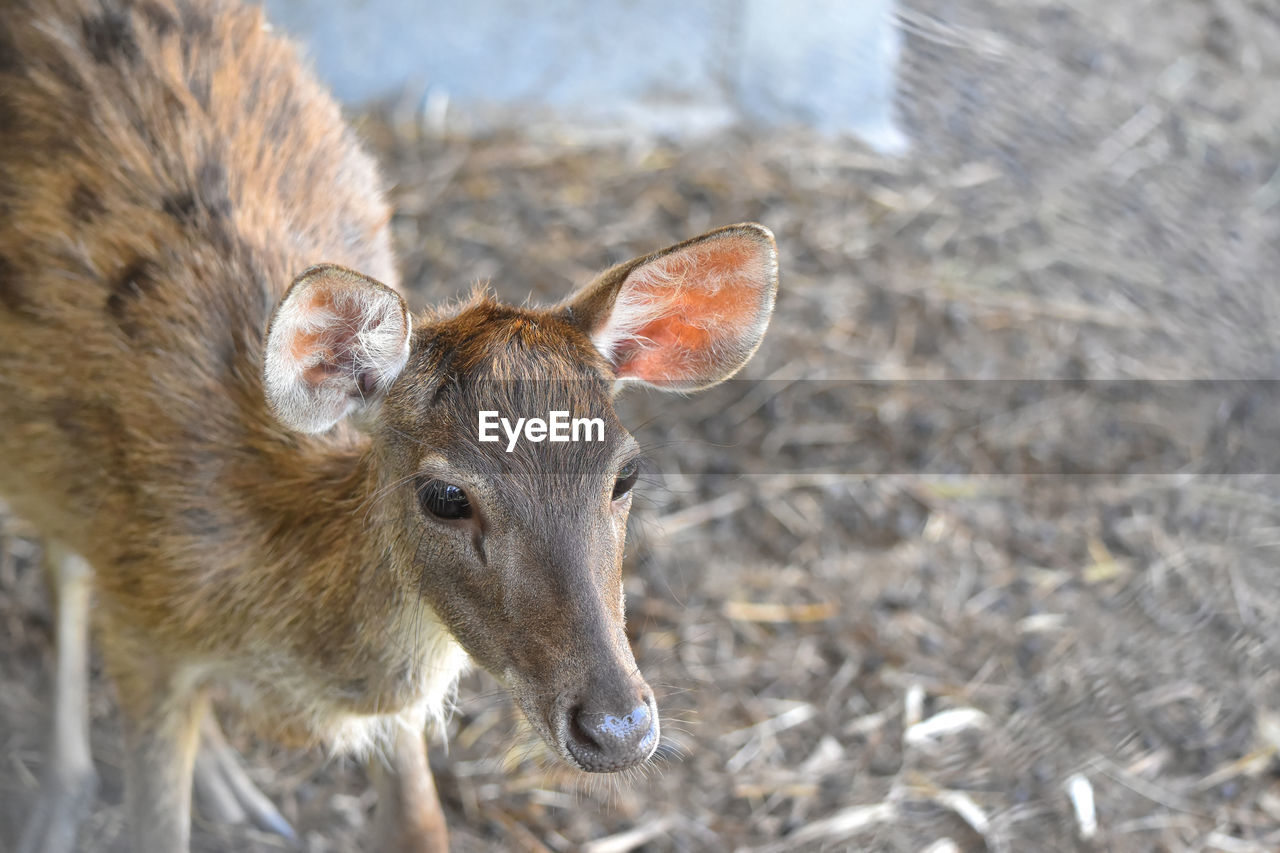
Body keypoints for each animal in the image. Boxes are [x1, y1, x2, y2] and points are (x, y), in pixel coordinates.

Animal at [0, 1, 778, 850]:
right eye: (444, 495)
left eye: (626, 472)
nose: (618, 726)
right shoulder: (142, 630)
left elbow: (420, 823)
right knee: (64, 567)